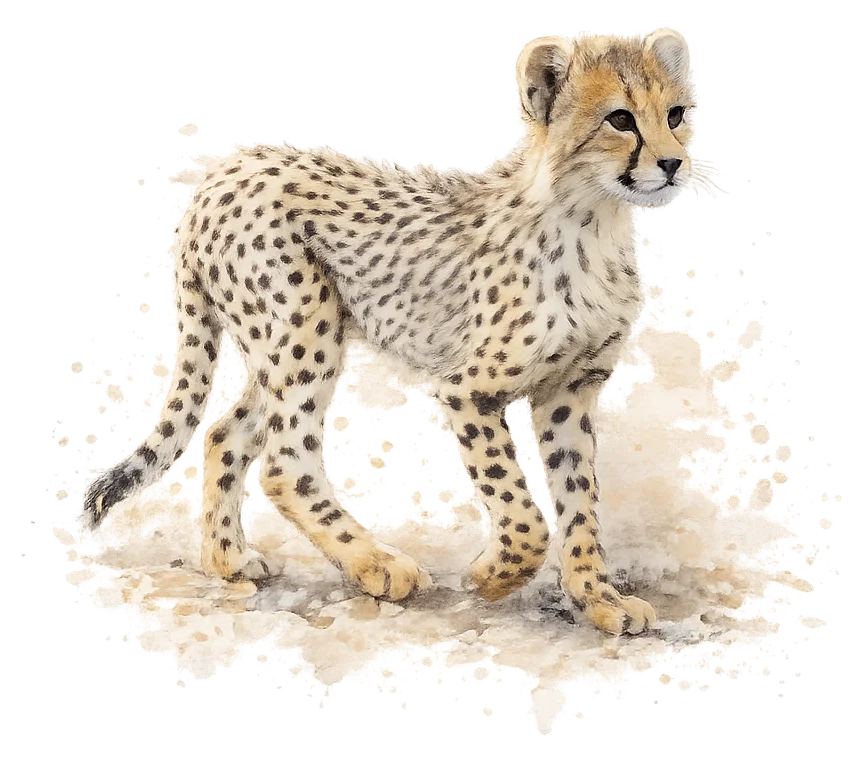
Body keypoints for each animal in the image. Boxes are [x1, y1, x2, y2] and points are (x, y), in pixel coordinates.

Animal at [83, 27, 695, 636]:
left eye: (676, 113)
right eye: (620, 118)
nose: (672, 163)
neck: (593, 218)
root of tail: (222, 175)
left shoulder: (569, 387)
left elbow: (579, 502)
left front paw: (598, 599)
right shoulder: (468, 390)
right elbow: (522, 511)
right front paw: (491, 577)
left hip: (275, 344)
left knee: (226, 434)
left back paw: (226, 559)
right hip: (306, 325)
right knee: (286, 460)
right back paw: (376, 565)